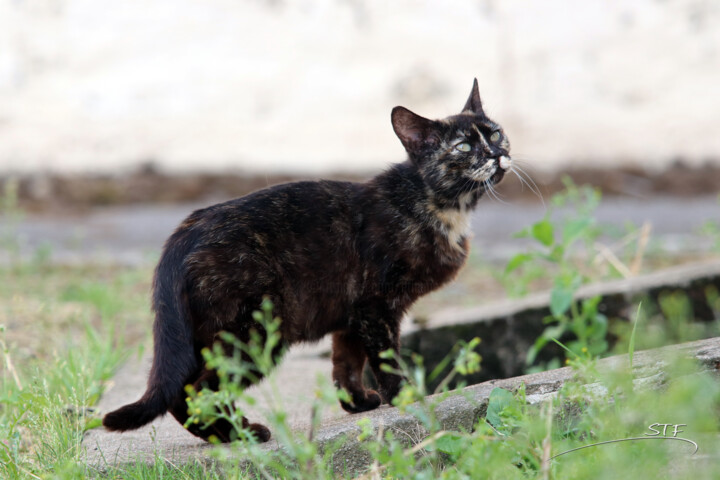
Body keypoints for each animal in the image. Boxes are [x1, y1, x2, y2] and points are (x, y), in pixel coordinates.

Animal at [104, 79, 516, 442]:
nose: (497, 153)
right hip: (254, 335)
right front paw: (405, 398)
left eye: (495, 134)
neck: (438, 206)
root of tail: (181, 236)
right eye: (463, 146)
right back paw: (238, 435)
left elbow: (346, 361)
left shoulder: (353, 312)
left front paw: (357, 402)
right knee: (194, 390)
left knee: (187, 390)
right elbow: (385, 359)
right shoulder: (378, 306)